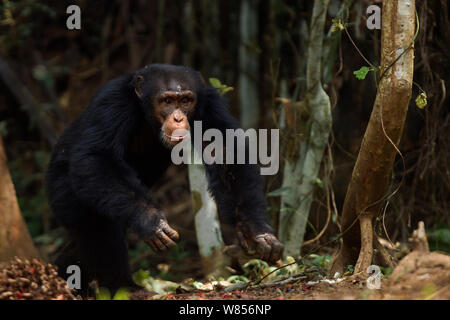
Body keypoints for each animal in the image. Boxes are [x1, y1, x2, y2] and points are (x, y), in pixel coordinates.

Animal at [44, 63, 282, 294]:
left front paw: (254, 230)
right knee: (97, 223)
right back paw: (122, 286)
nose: (178, 117)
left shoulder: (211, 105)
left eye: (185, 101)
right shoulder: (111, 101)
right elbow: (97, 156)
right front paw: (152, 220)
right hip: (62, 190)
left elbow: (227, 154)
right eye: (167, 100)